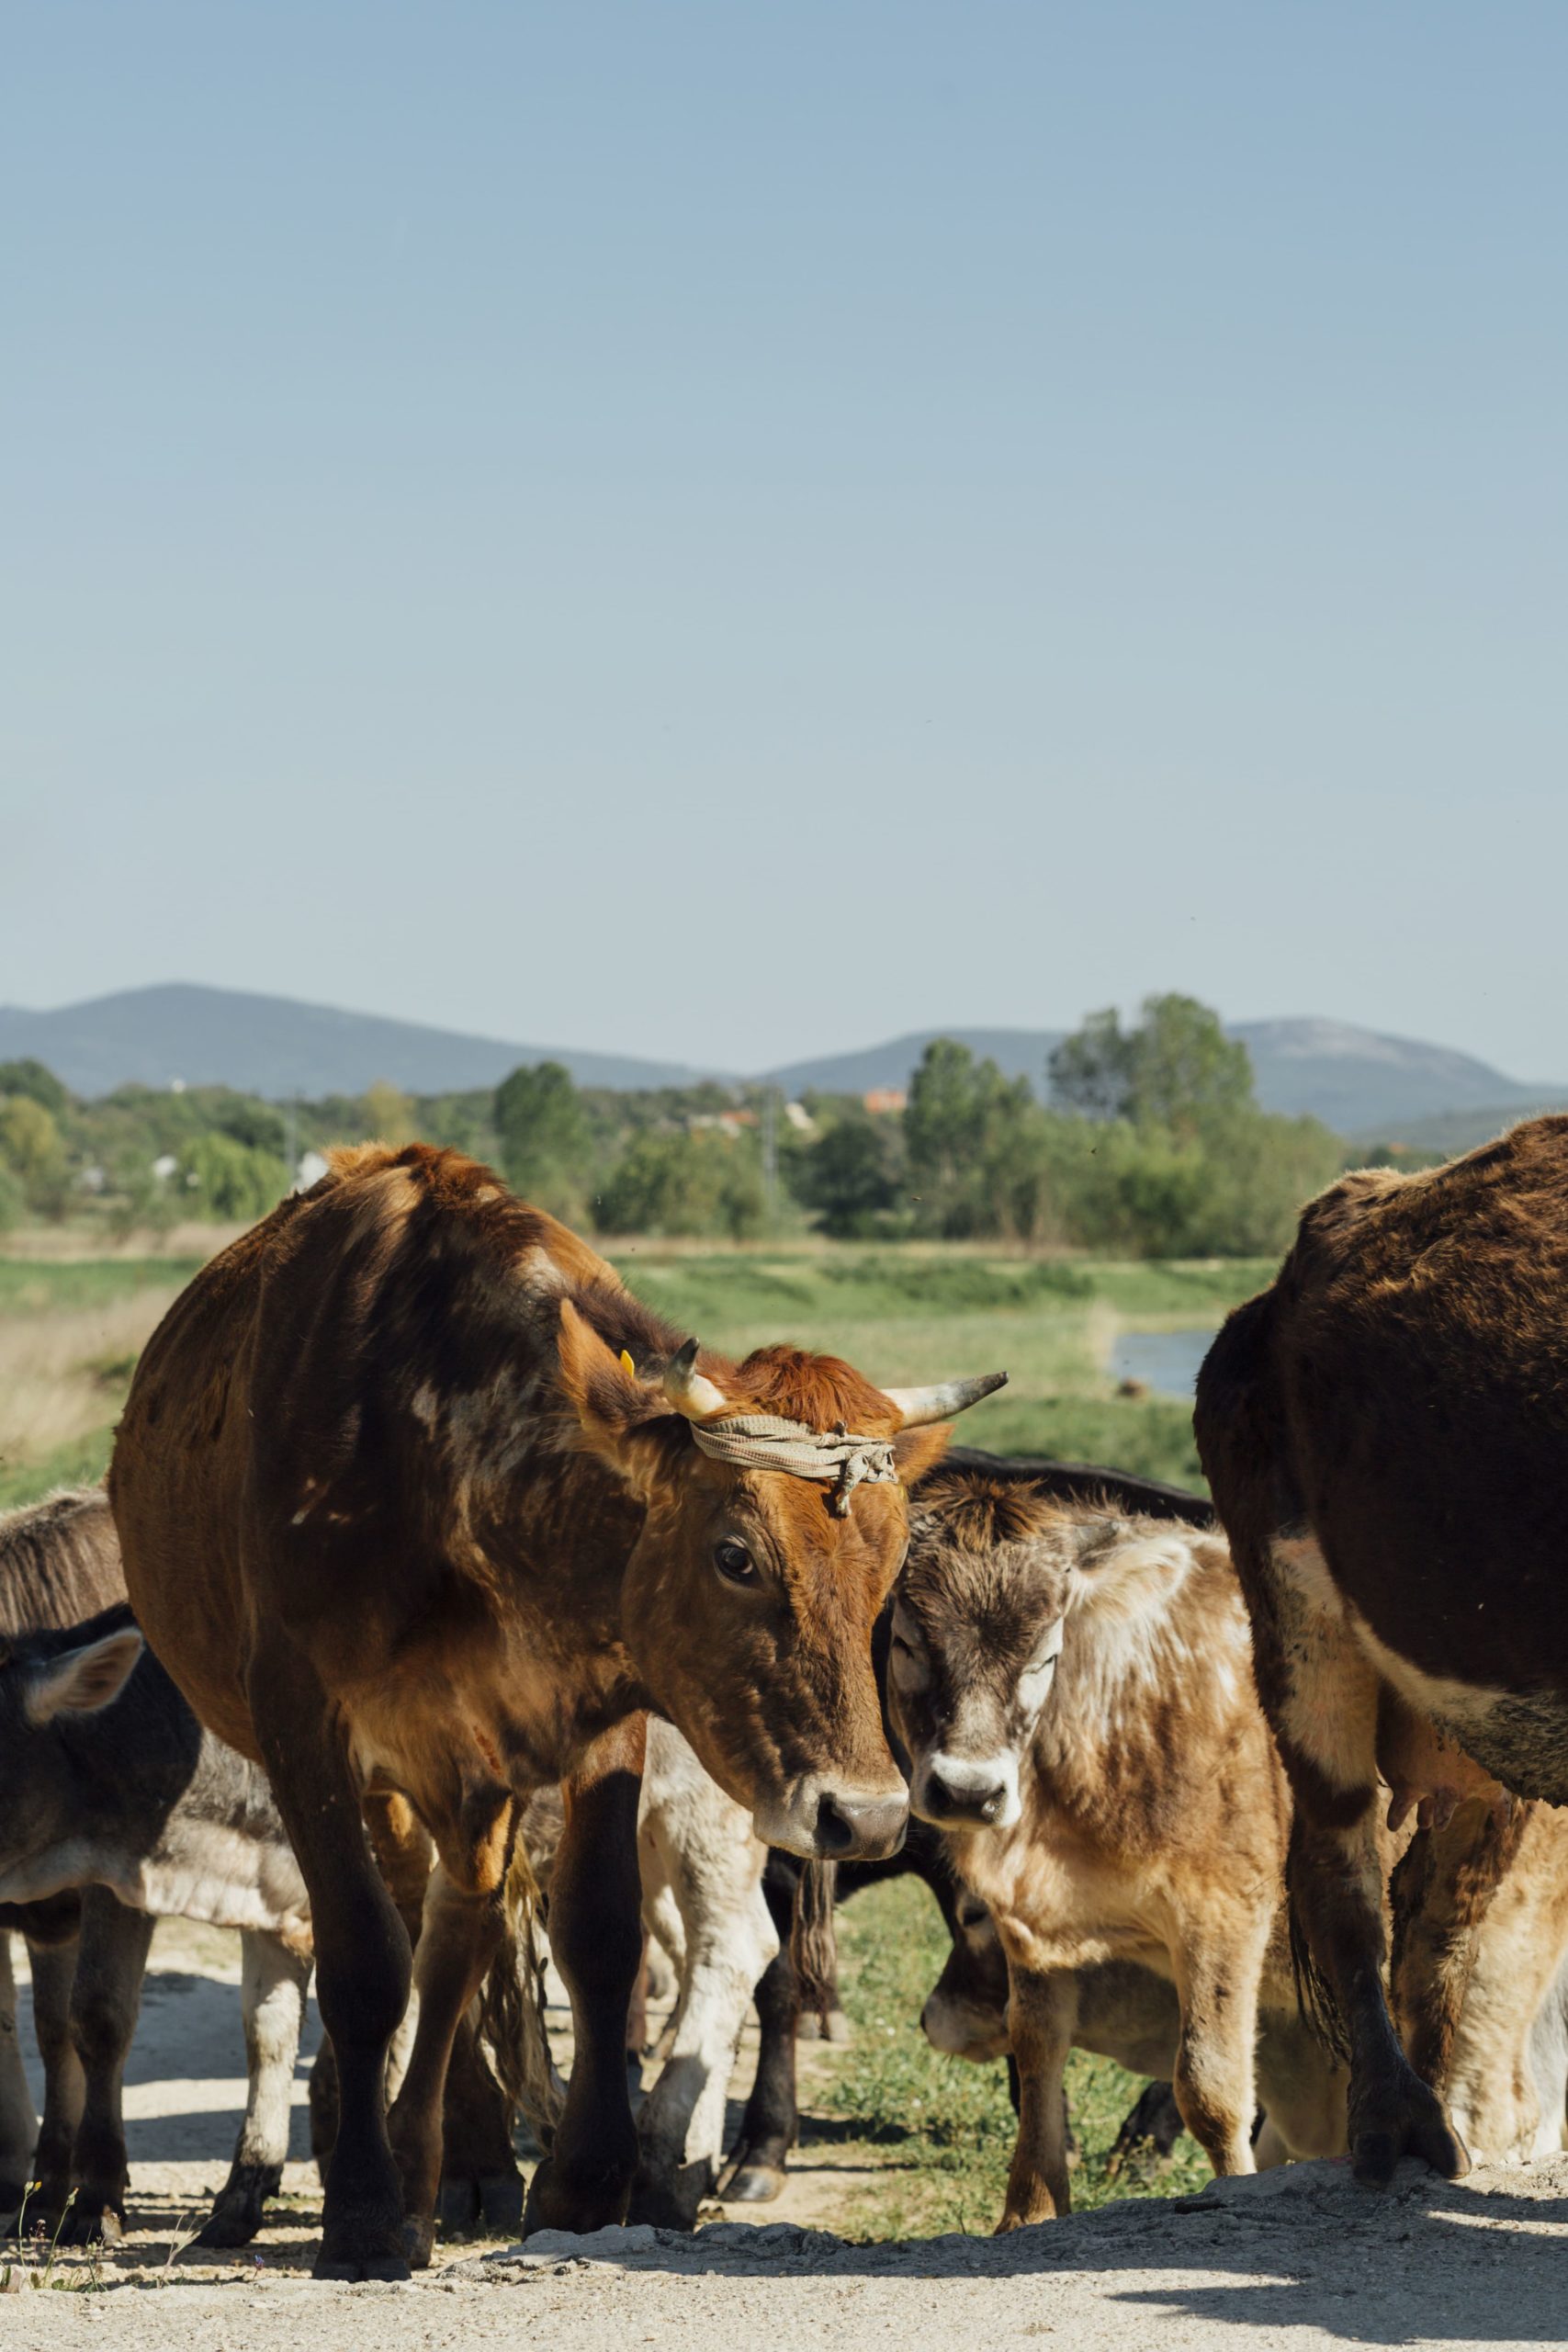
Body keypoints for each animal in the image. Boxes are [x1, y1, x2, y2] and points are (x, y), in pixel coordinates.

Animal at [108, 1141, 1003, 2277]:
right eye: (736, 1554)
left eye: (891, 1565)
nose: (869, 1815)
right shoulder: (301, 1723)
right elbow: (362, 1959)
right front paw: (363, 2208)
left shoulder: (603, 1717)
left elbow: (599, 1936)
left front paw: (580, 2185)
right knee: (418, 1925)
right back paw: (421, 2158)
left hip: (471, 1772)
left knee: (457, 1930)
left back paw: (455, 2156)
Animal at [887, 1468, 1350, 2227]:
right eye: (902, 1642)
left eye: (1045, 1654)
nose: (965, 1791)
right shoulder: (1030, 1919)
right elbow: (1036, 2050)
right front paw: (1028, 2212)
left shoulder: (1225, 1909)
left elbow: (1209, 2085)